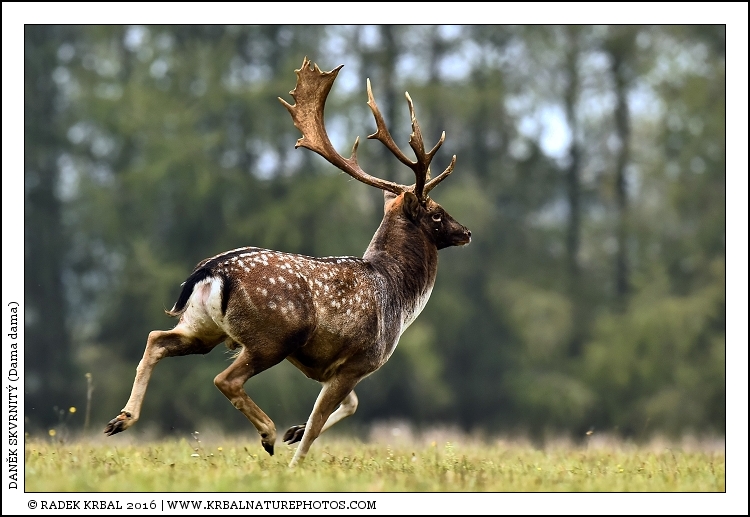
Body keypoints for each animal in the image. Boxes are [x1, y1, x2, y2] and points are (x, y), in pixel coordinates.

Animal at [104, 57, 471, 467]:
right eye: (436, 213)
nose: (466, 231)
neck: (396, 297)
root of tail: (211, 270)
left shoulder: (326, 365)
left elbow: (348, 407)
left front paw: (295, 434)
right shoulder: (361, 360)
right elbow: (321, 420)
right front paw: (296, 459)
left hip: (203, 327)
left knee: (157, 338)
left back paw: (121, 419)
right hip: (271, 337)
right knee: (224, 378)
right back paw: (267, 434)